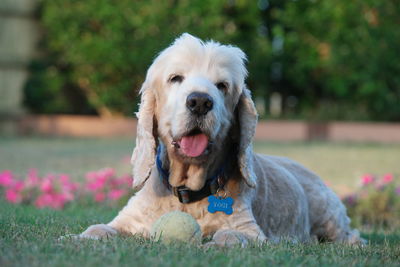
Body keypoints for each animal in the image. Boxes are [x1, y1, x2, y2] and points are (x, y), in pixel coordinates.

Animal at [76, 34, 364, 249]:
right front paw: (79, 238)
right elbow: (98, 229)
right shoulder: (130, 220)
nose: (200, 101)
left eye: (222, 86)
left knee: (349, 234)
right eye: (175, 78)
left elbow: (229, 235)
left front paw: (216, 242)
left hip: (329, 214)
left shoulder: (248, 229)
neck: (188, 192)